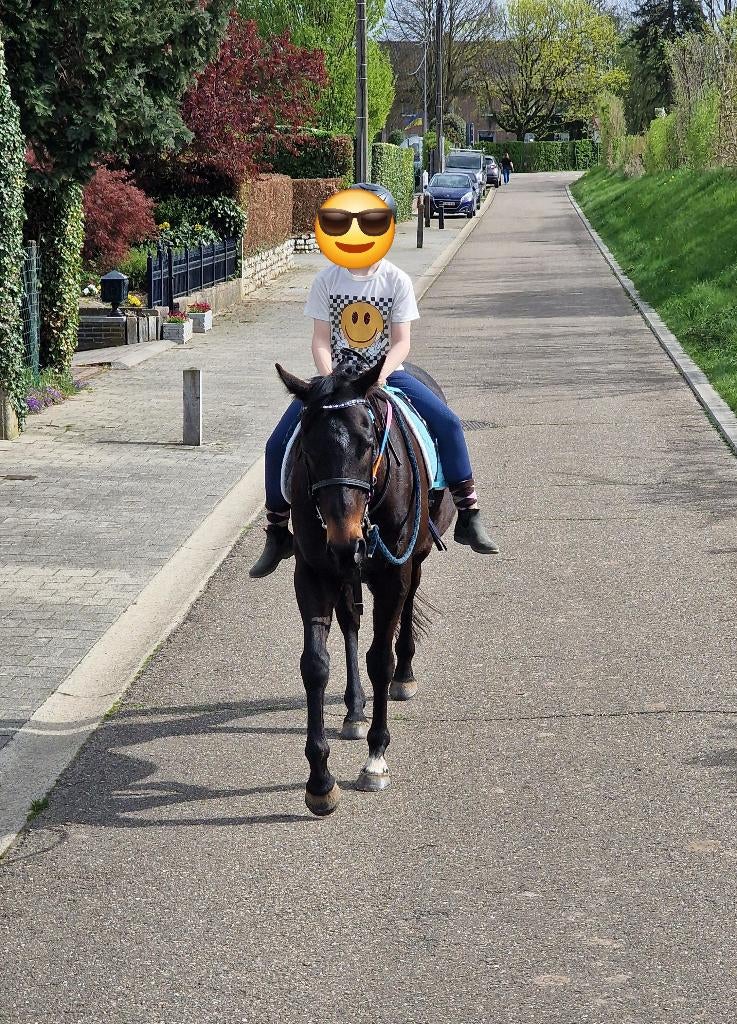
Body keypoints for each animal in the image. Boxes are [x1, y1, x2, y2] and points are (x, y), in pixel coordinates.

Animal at [275, 356, 454, 816]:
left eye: (368, 441)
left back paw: (404, 676)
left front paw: (376, 759)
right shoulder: (314, 574)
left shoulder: (394, 575)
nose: (345, 541)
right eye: (308, 449)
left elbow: (380, 660)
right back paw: (355, 711)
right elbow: (315, 664)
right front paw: (320, 781)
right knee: (351, 625)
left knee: (405, 615)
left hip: (412, 561)